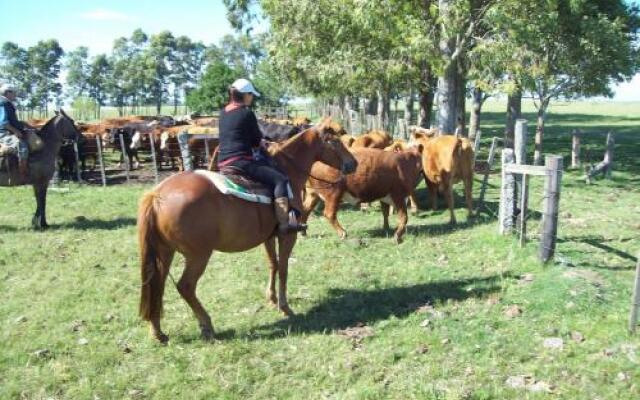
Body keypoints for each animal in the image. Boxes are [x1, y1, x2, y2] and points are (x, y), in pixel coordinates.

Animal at [138, 120, 358, 342]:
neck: (286, 169)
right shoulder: (287, 235)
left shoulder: (268, 237)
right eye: (335, 142)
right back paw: (207, 324)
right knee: (185, 286)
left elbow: (273, 264)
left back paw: (157, 332)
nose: (353, 163)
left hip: (165, 252)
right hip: (198, 256)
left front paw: (271, 299)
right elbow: (284, 267)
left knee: (157, 284)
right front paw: (284, 307)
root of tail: (156, 196)